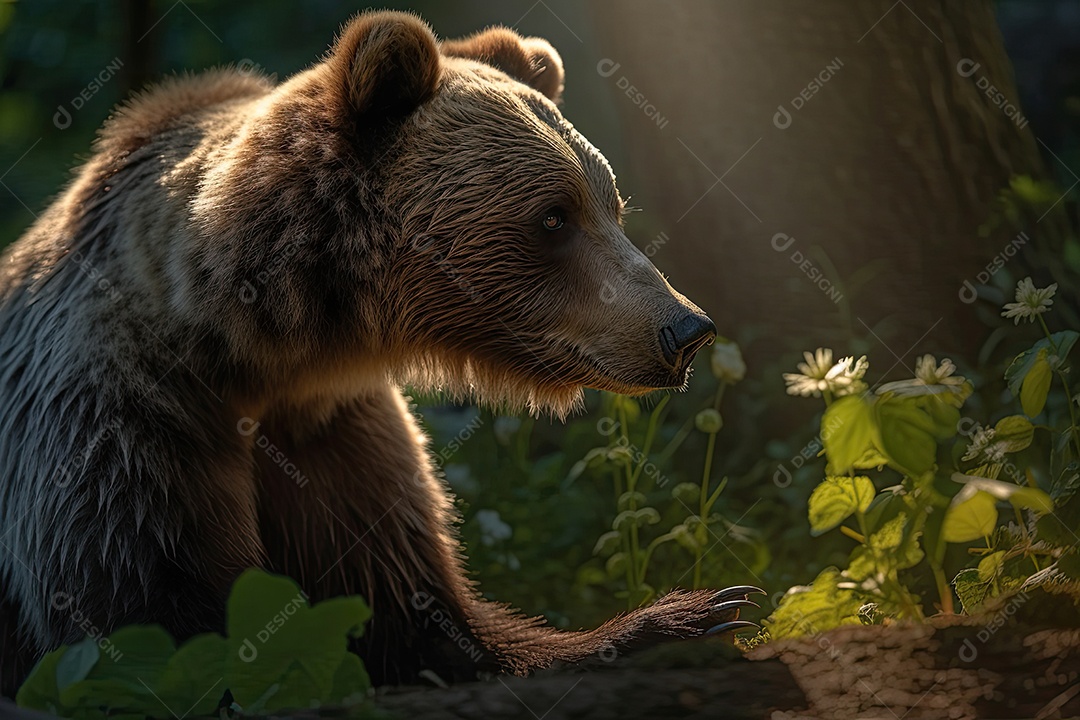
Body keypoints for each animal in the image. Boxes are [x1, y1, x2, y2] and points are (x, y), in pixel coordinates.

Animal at [0, 11, 760, 697]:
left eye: (613, 207)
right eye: (554, 216)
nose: (685, 330)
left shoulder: (331, 429)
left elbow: (402, 600)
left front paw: (696, 614)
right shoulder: (120, 420)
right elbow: (155, 627)